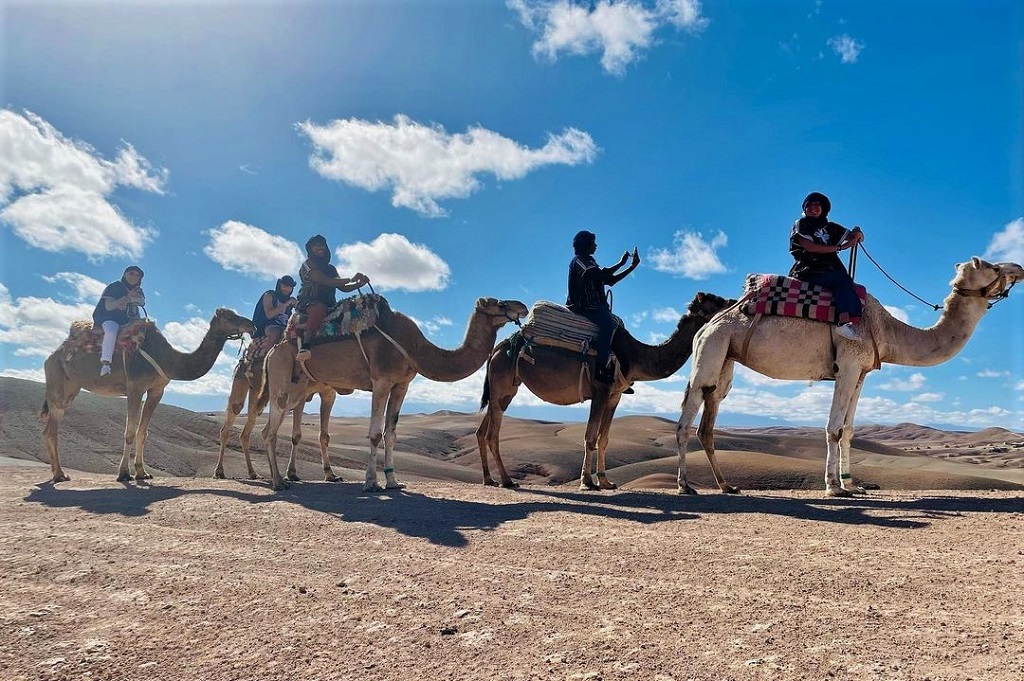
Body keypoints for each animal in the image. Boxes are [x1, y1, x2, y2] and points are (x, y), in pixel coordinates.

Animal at [41, 307, 256, 483]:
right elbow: (129, 432)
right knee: (51, 428)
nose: (251, 325)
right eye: (231, 317)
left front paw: (141, 472)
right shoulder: (135, 387)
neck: (167, 359)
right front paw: (123, 473)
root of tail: (53, 353)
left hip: (71, 387)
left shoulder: (156, 391)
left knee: (49, 427)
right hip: (56, 381)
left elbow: (143, 432)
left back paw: (57, 473)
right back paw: (59, 474)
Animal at [258, 294, 528, 491]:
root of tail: (272, 351)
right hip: (282, 377)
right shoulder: (381, 381)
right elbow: (375, 434)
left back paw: (288, 477)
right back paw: (278, 482)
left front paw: (393, 481)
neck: (414, 347)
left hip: (301, 387)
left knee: (273, 426)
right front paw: (370, 483)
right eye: (500, 303)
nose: (522, 306)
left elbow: (391, 433)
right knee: (270, 428)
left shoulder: (401, 385)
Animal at [475, 290, 733, 489]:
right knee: (492, 434)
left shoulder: (614, 395)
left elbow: (604, 438)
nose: (733, 301)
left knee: (482, 430)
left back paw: (489, 479)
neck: (633, 355)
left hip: (506, 390)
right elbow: (590, 437)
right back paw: (507, 480)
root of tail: (498, 348)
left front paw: (605, 481)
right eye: (715, 300)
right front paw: (587, 482)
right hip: (501, 383)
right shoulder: (600, 391)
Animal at [671, 254, 1024, 493]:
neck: (885, 329)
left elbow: (849, 429)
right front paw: (833, 487)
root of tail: (708, 324)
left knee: (708, 418)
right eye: (992, 267)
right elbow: (833, 428)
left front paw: (853, 485)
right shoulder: (848, 365)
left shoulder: (861, 372)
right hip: (711, 349)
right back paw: (685, 486)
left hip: (725, 359)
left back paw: (726, 486)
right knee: (687, 419)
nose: (1018, 268)